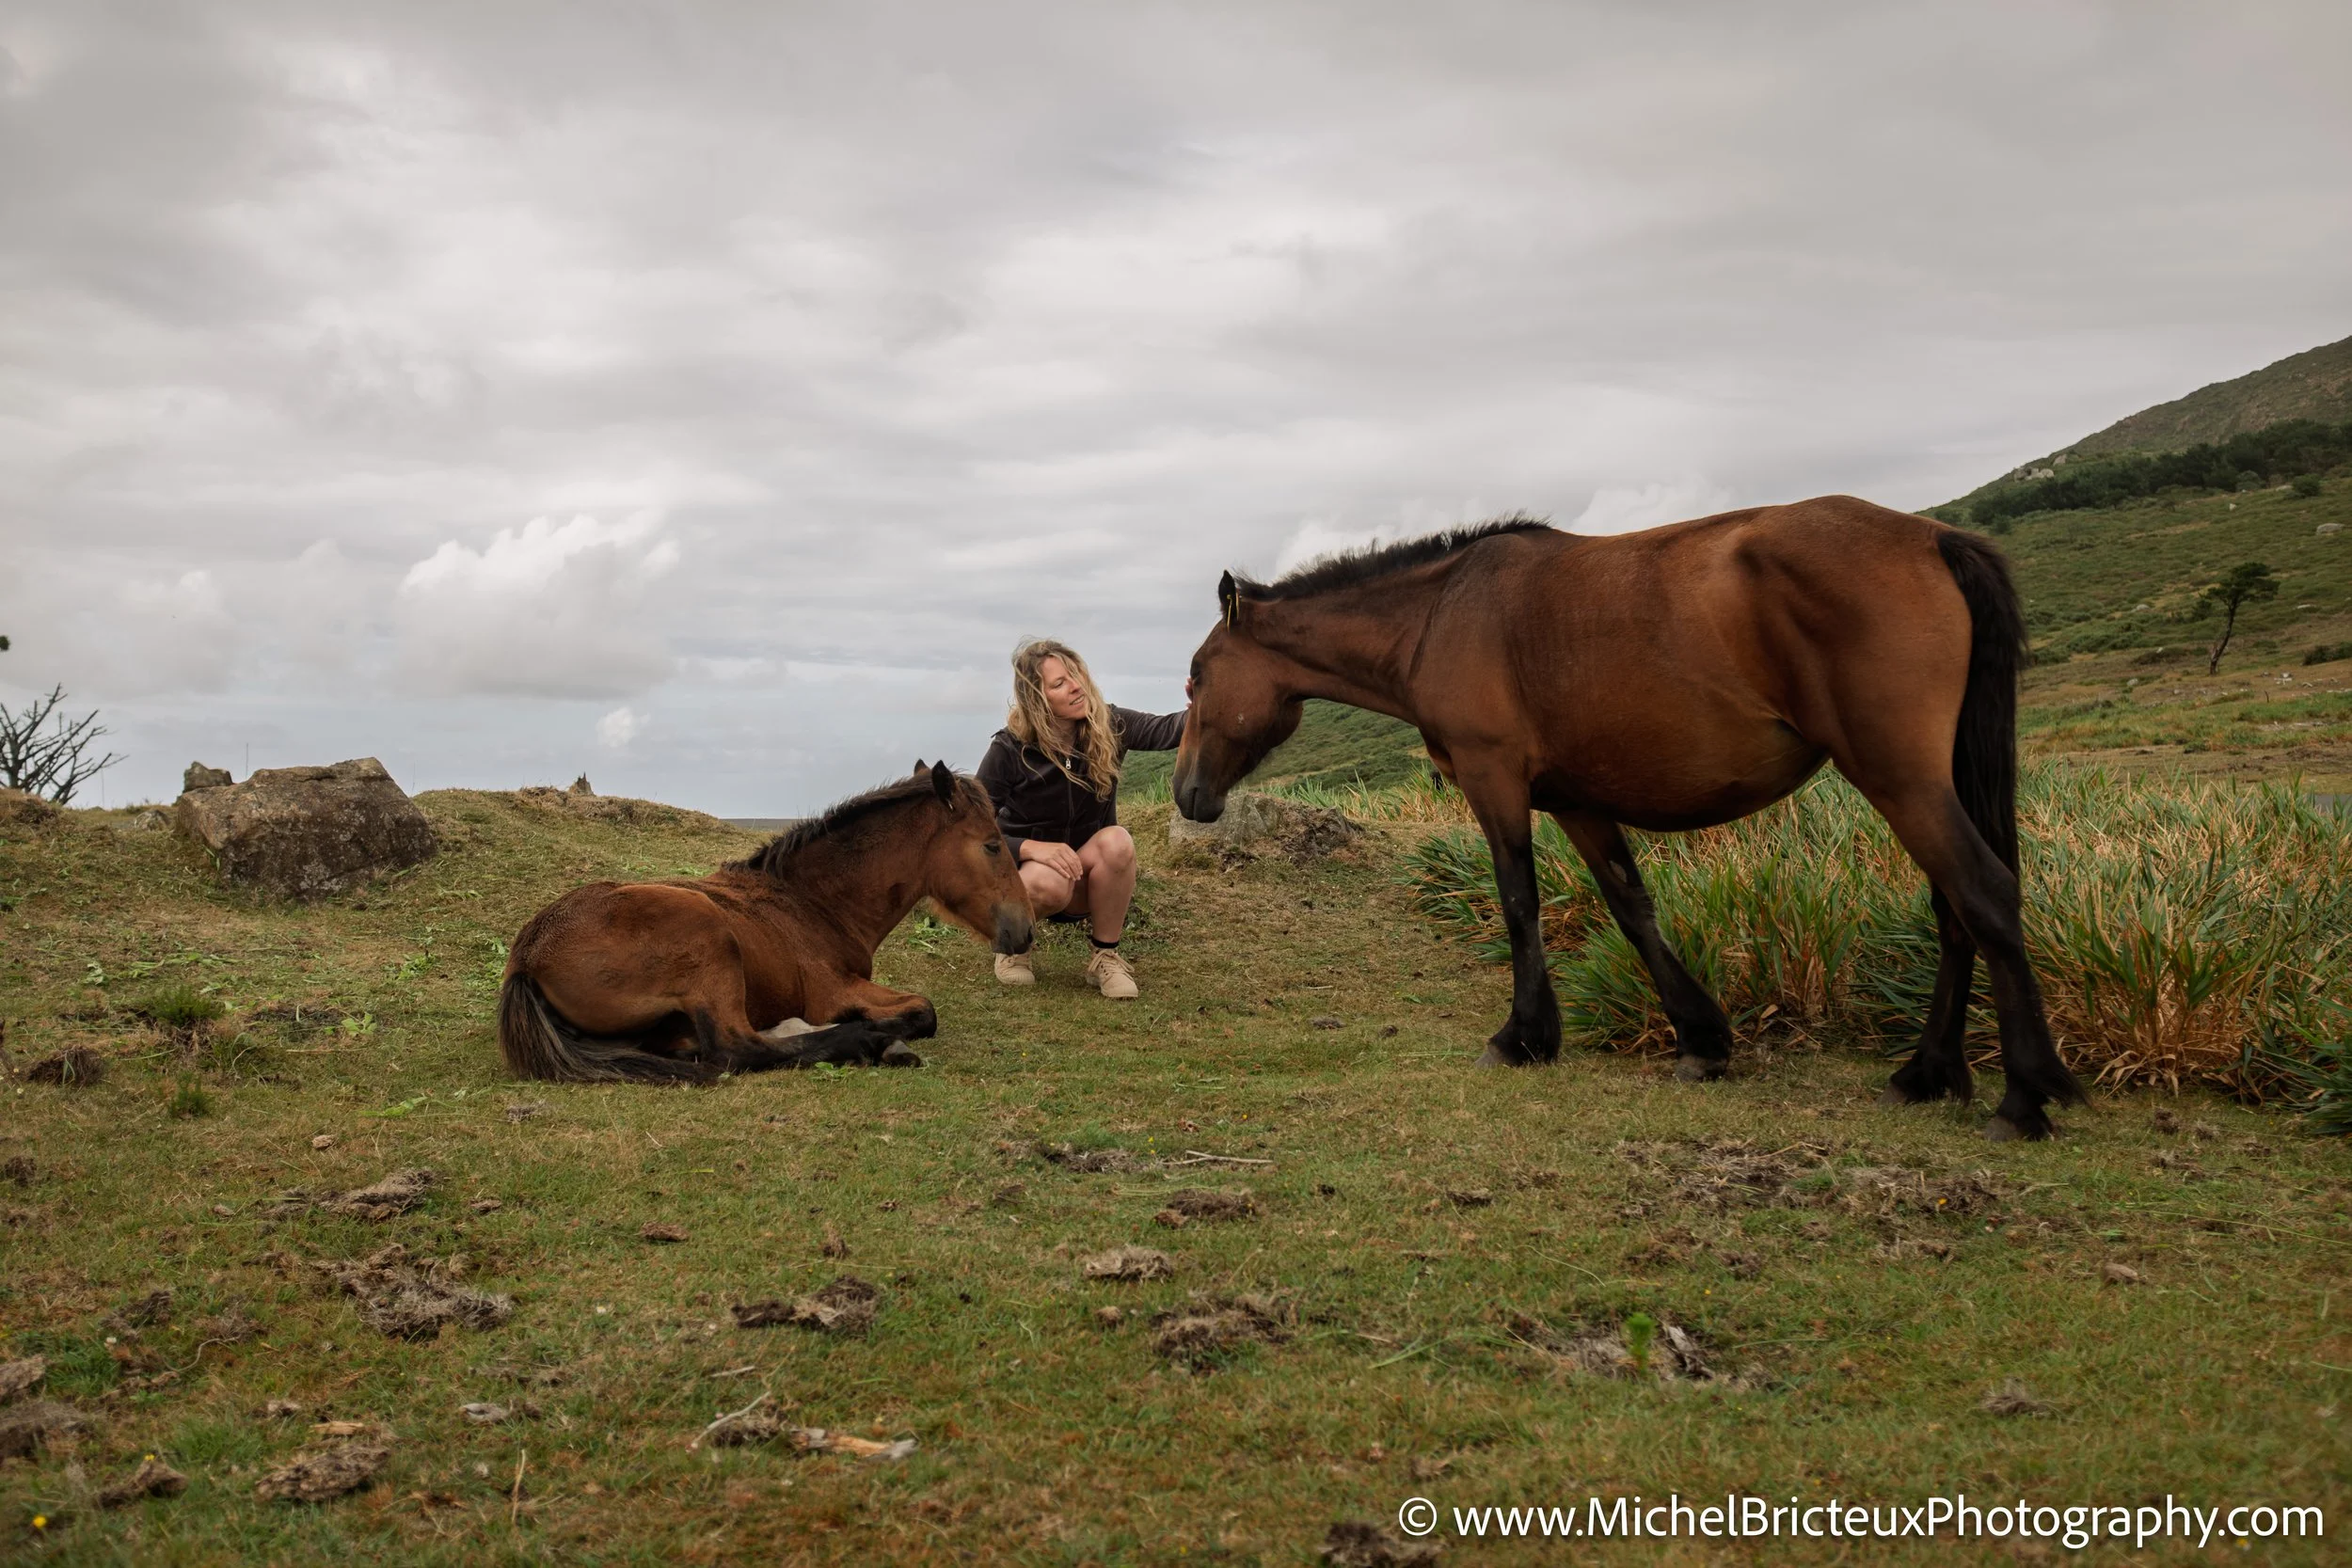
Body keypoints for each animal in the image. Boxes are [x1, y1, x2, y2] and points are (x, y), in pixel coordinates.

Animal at [498, 761, 1035, 1083]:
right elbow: (925, 1010)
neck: (810, 901)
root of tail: (528, 957)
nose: (1025, 929)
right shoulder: (833, 990)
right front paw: (877, 1030)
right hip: (707, 937)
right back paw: (866, 1040)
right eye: (992, 845)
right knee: (736, 1049)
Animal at [1171, 496, 2085, 1141]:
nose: (1186, 794)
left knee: (1984, 892)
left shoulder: (1494, 780)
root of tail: (1934, 539)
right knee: (1955, 906)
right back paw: (1926, 1073)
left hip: (1899, 777)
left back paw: (2022, 1095)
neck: (1439, 614)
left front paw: (1524, 1036)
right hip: (1930, 780)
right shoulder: (1578, 800)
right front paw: (1701, 1040)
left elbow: (1519, 901)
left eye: (1196, 674)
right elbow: (1630, 905)